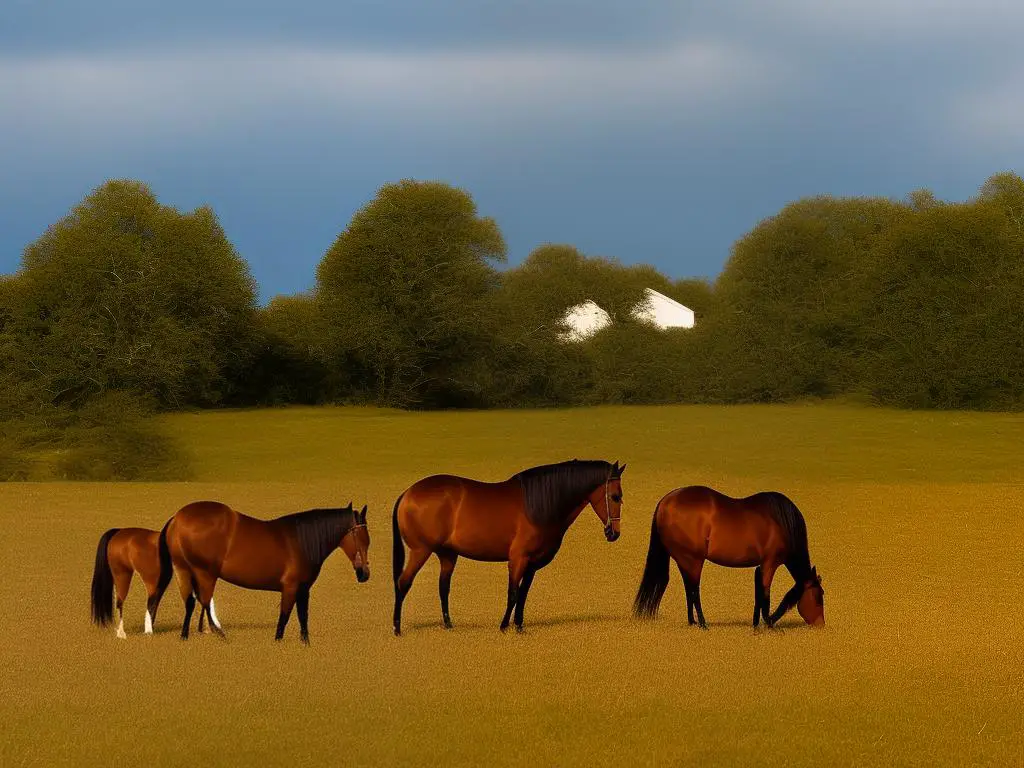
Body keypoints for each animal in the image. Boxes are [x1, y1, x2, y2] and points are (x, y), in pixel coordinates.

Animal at [157, 501, 370, 647]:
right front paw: (278, 642)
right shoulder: (290, 587)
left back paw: (185, 636)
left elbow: (303, 616)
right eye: (361, 538)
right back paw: (220, 635)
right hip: (205, 573)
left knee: (191, 602)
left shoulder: (303, 589)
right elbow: (285, 616)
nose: (364, 574)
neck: (301, 541)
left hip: (183, 570)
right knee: (204, 602)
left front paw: (305, 644)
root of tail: (177, 518)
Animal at [391, 456, 622, 638]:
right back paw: (397, 628)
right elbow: (512, 592)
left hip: (447, 554)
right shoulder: (518, 559)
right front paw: (503, 626)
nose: (614, 533)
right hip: (421, 551)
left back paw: (448, 625)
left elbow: (523, 593)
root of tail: (407, 493)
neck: (538, 505)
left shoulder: (532, 564)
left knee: (443, 587)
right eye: (615, 496)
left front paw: (519, 626)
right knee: (403, 582)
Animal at [630, 487, 823, 630]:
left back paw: (693, 622)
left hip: (685, 561)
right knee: (694, 590)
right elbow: (765, 594)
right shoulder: (770, 563)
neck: (783, 523)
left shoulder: (760, 566)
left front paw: (756, 624)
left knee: (689, 589)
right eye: (819, 596)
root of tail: (664, 502)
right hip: (693, 560)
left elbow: (758, 593)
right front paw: (768, 624)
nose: (821, 624)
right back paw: (703, 624)